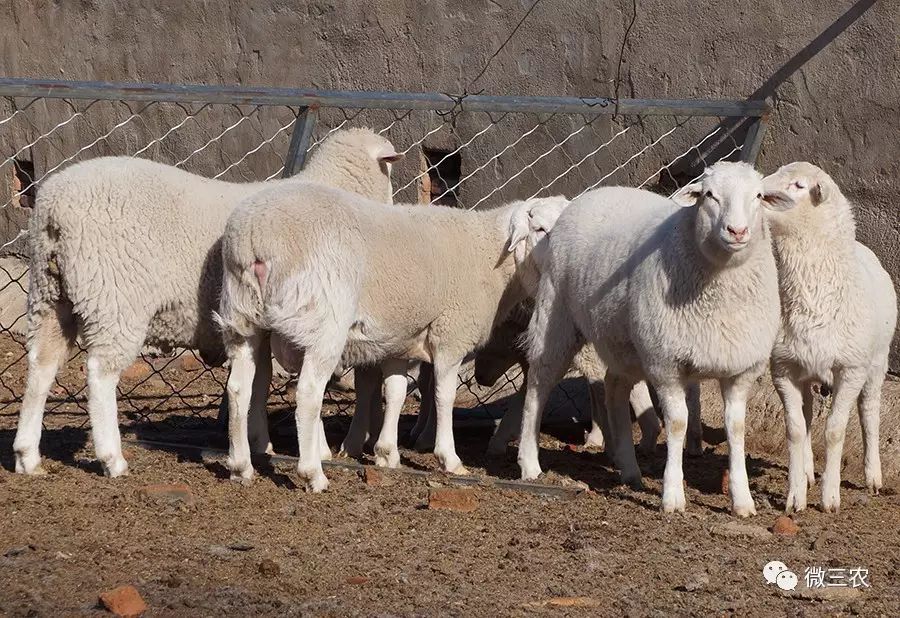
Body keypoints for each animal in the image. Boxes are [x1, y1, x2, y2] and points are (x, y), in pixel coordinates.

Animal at [13, 129, 400, 476]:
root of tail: (53, 209)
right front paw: (310, 450)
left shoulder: (255, 326)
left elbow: (258, 383)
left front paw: (259, 441)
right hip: (115, 296)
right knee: (99, 372)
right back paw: (112, 458)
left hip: (50, 295)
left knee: (41, 364)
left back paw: (27, 456)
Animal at [217, 182, 568, 486]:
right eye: (539, 229)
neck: (490, 258)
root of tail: (256, 236)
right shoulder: (449, 335)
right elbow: (444, 396)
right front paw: (449, 458)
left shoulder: (403, 340)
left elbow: (396, 392)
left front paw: (387, 454)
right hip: (322, 321)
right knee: (308, 393)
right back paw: (313, 474)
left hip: (242, 319)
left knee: (238, 389)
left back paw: (241, 467)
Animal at [516, 162, 792, 516]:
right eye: (709, 195)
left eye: (757, 196)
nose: (737, 232)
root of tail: (596, 192)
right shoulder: (666, 364)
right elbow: (677, 423)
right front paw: (672, 496)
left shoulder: (740, 369)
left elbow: (736, 429)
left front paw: (742, 500)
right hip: (557, 314)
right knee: (539, 384)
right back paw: (529, 463)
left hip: (625, 343)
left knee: (614, 387)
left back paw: (628, 468)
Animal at [764, 161, 896, 512]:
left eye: (798, 185)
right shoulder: (782, 369)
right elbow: (796, 429)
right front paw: (795, 496)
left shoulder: (850, 369)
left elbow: (835, 431)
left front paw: (829, 497)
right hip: (806, 368)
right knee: (809, 415)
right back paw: (808, 472)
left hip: (877, 363)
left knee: (869, 413)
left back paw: (872, 476)